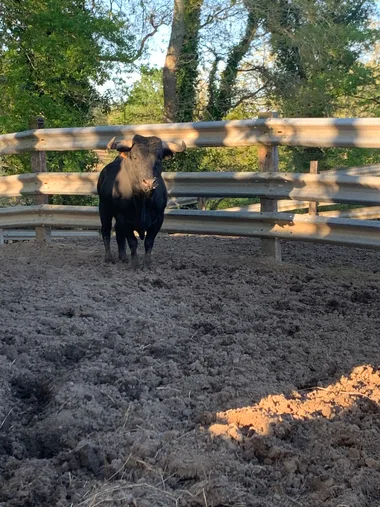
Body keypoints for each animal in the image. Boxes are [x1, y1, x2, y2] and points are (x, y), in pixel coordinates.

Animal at [97, 135, 185, 270]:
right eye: (135, 157)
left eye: (159, 157)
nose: (149, 182)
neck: (143, 200)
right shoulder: (124, 219)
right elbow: (133, 242)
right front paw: (135, 264)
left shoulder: (158, 219)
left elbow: (149, 242)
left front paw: (147, 264)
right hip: (104, 208)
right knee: (106, 230)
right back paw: (109, 258)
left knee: (118, 232)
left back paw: (123, 257)